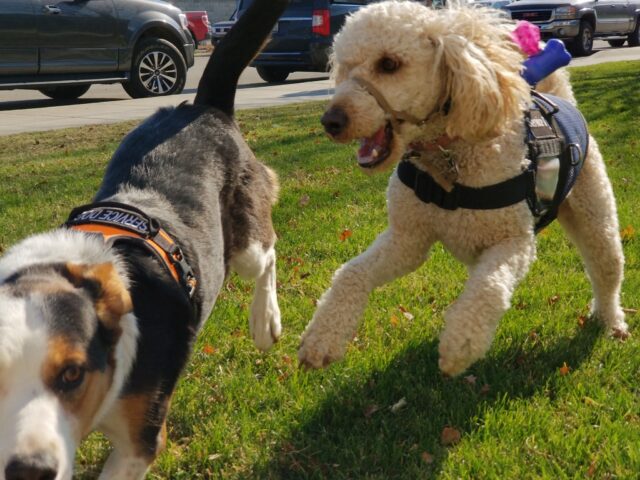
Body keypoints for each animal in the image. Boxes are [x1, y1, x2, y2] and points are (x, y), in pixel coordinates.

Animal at [0, 0, 288, 480]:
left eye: (72, 375)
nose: (29, 471)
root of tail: (201, 106)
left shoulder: (139, 442)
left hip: (247, 239)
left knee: (267, 253)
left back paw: (265, 320)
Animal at [298, 0, 628, 376]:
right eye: (344, 67)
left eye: (389, 64)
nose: (331, 122)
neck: (447, 158)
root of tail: (558, 98)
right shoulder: (406, 239)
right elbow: (351, 273)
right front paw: (322, 337)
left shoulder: (515, 242)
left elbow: (490, 286)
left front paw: (461, 343)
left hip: (594, 217)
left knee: (606, 271)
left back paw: (611, 321)